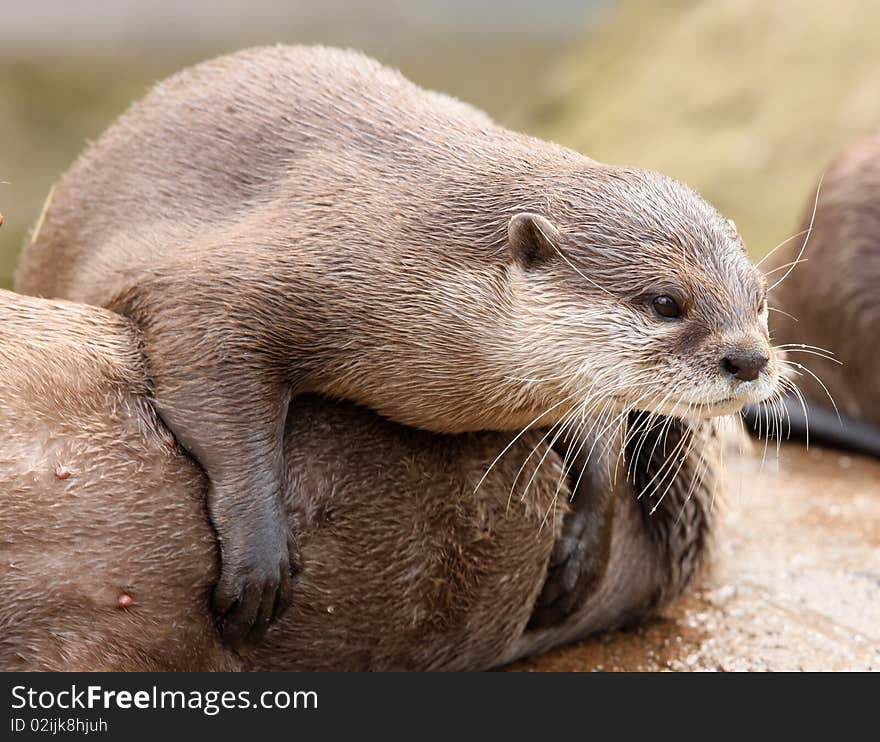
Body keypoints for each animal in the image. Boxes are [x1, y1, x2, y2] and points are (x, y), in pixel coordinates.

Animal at [17, 46, 776, 644]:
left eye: (760, 296)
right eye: (666, 303)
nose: (749, 358)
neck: (416, 244)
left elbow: (600, 438)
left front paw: (584, 549)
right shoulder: (266, 270)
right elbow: (206, 355)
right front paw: (259, 556)